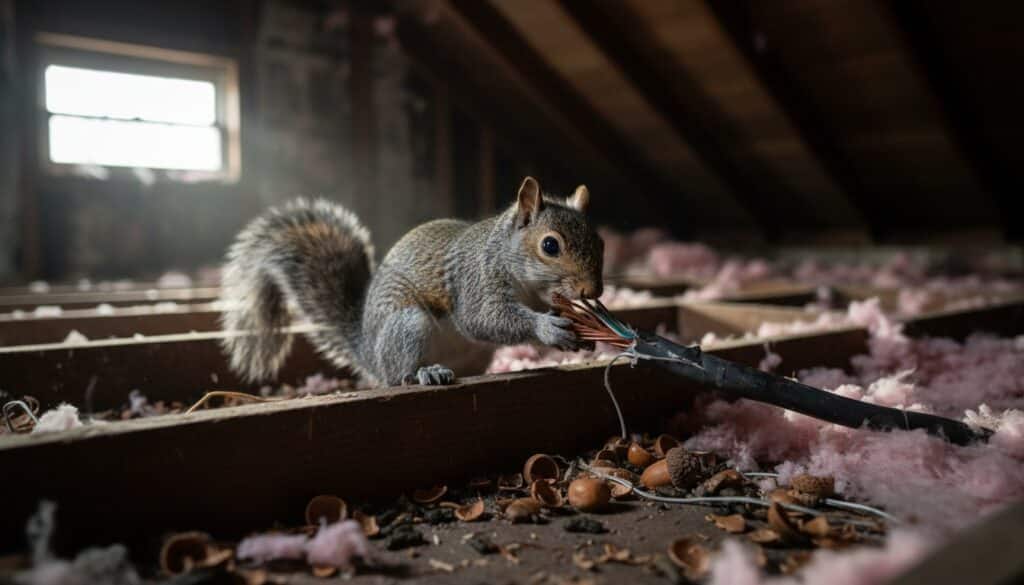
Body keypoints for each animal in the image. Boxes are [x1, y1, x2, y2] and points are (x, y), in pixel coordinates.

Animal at [219, 176, 605, 387]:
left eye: (600, 242)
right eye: (550, 245)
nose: (593, 290)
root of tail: (369, 352)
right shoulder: (475, 280)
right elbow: (483, 318)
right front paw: (547, 328)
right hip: (408, 325)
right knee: (397, 376)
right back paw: (424, 374)